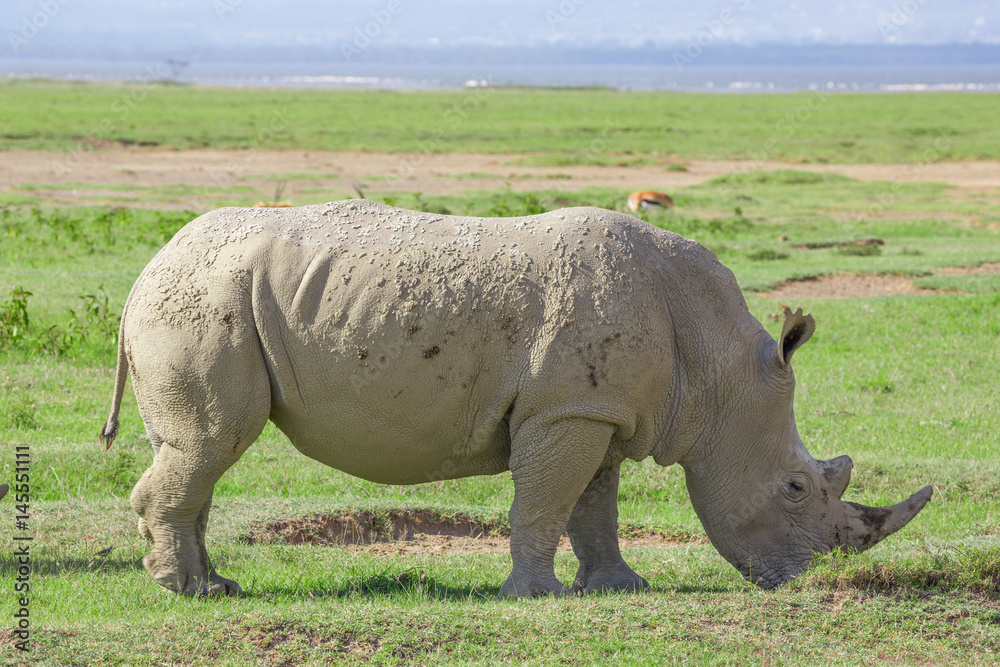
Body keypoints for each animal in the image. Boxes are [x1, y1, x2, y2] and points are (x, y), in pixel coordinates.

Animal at [99, 200, 931, 597]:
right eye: (795, 487)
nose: (815, 577)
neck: (715, 363)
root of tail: (143, 272)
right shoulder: (566, 411)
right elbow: (545, 500)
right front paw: (537, 596)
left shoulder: (597, 408)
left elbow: (594, 504)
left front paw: (620, 587)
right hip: (203, 305)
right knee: (211, 443)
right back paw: (190, 593)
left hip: (210, 300)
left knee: (198, 453)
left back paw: (213, 584)